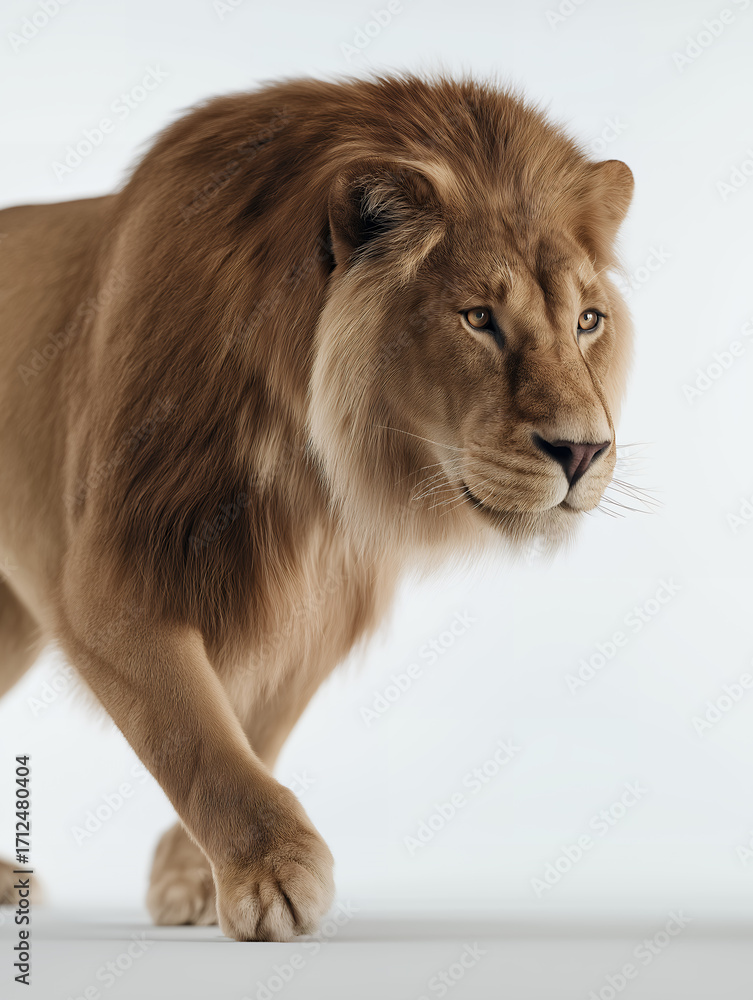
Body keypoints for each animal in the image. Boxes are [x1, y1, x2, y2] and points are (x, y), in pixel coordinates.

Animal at [0, 74, 633, 940]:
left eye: (586, 320)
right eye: (477, 318)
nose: (582, 453)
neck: (312, 469)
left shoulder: (324, 603)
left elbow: (252, 728)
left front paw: (190, 877)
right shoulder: (109, 574)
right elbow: (191, 731)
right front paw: (270, 873)